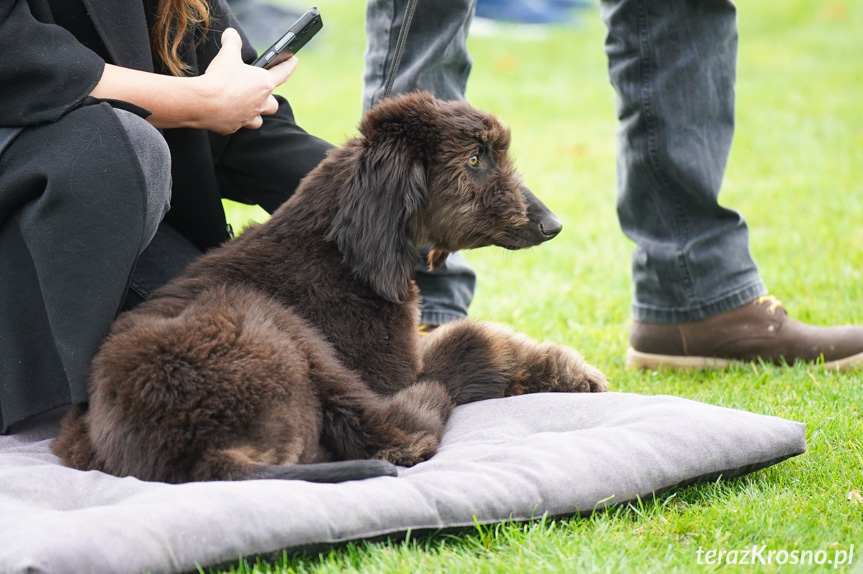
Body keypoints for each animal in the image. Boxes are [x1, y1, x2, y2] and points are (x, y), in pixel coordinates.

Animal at [54, 92, 608, 484]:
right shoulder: (391, 369)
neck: (344, 250)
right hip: (275, 329)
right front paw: (570, 369)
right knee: (397, 434)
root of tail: (204, 456)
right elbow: (474, 339)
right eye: (475, 159)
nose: (553, 225)